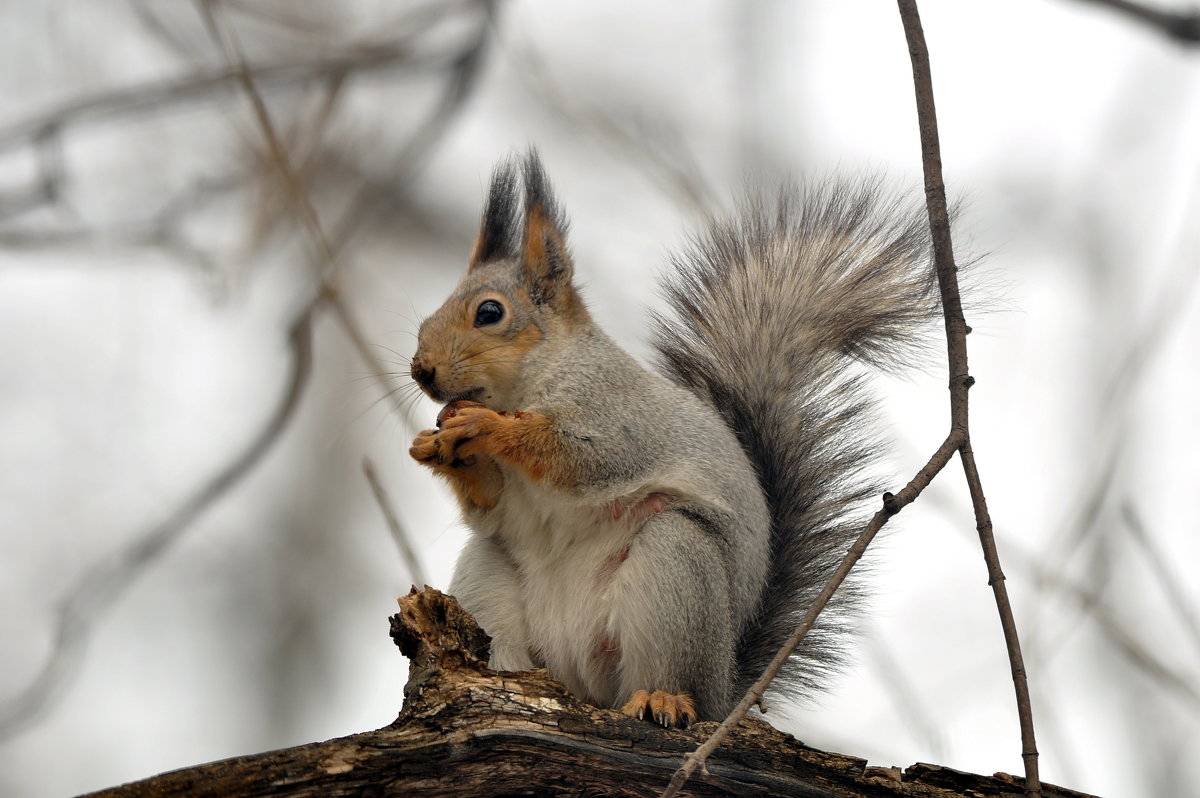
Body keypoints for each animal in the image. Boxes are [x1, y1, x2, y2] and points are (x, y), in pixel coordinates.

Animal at [408, 149, 940, 729]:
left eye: (489, 312)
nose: (420, 371)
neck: (533, 379)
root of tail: (726, 688)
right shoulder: (505, 508)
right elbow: (493, 509)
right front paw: (437, 449)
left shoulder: (620, 418)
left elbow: (580, 458)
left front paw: (487, 427)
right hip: (489, 584)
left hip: (676, 567)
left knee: (665, 672)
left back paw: (662, 699)